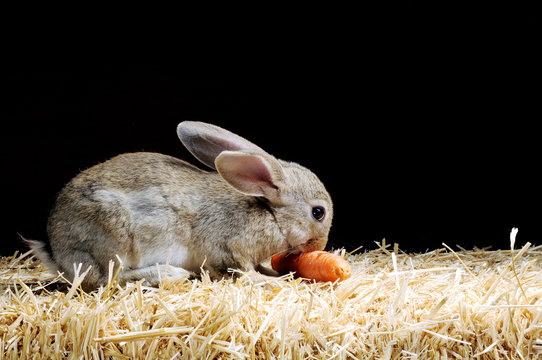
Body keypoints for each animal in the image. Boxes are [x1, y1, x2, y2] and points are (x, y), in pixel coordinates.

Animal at [26, 121, 336, 290]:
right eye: (318, 212)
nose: (319, 246)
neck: (270, 214)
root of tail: (57, 254)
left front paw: (277, 274)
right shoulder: (228, 251)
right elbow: (244, 273)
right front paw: (278, 281)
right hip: (112, 237)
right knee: (106, 279)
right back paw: (168, 274)